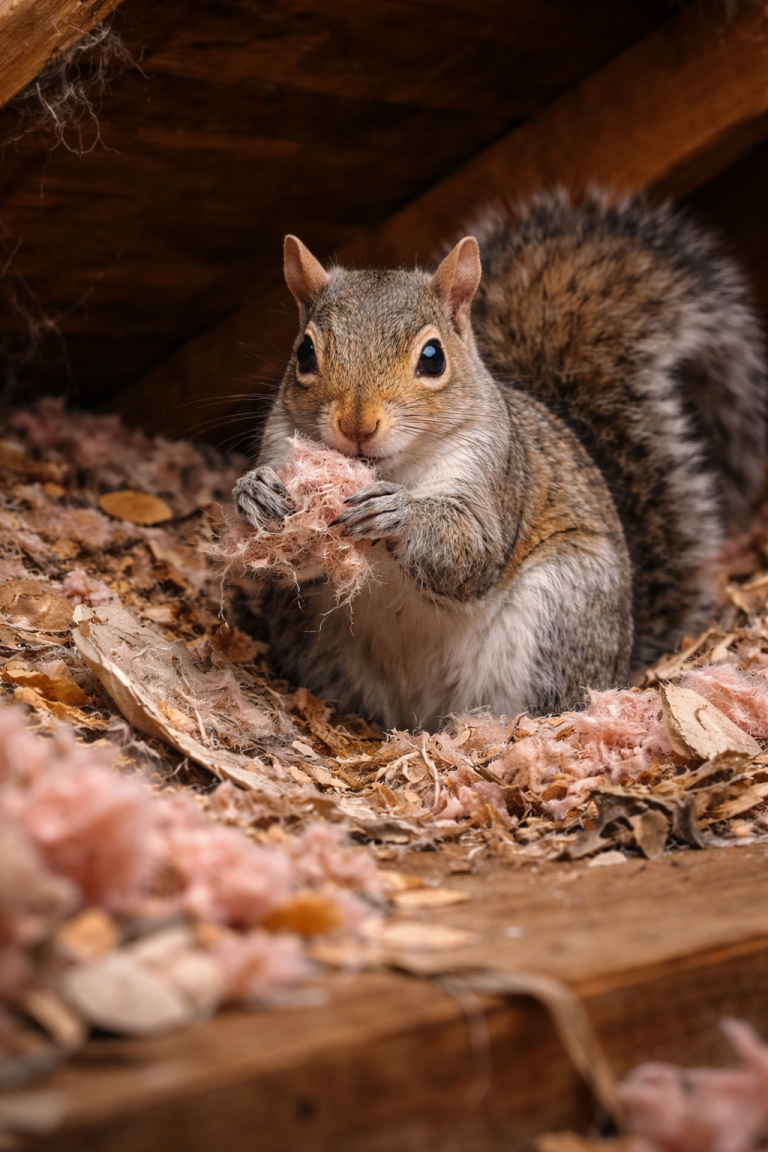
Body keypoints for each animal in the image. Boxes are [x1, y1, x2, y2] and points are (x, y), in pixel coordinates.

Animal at [233, 190, 766, 731]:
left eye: (433, 357)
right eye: (304, 352)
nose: (357, 426)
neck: (393, 467)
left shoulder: (494, 471)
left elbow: (474, 549)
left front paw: (398, 514)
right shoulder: (280, 443)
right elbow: (285, 569)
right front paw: (254, 495)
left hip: (564, 605)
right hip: (311, 635)